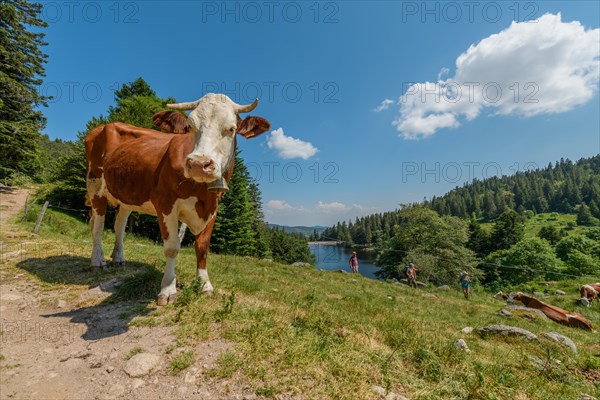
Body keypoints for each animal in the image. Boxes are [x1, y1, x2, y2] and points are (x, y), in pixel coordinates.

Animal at [84, 94, 270, 306]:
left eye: (231, 129)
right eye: (189, 126)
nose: (198, 163)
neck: (201, 192)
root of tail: (103, 126)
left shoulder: (213, 208)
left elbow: (202, 247)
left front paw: (205, 285)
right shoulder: (165, 204)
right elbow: (172, 247)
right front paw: (168, 289)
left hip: (126, 196)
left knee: (119, 225)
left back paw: (118, 259)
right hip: (94, 186)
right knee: (98, 226)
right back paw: (97, 262)